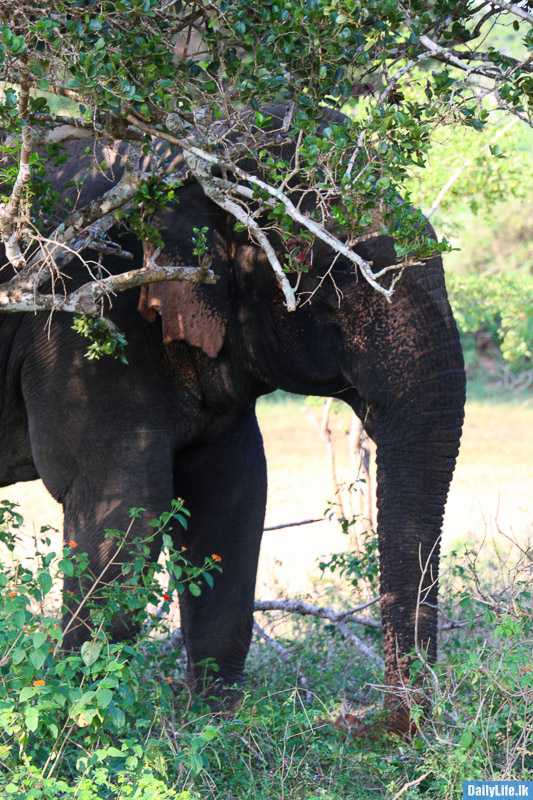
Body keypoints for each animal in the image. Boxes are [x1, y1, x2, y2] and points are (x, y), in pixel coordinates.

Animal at [0, 109, 466, 735]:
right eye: (338, 277)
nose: (372, 722)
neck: (179, 156)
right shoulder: (81, 323)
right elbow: (124, 508)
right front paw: (76, 727)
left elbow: (234, 497)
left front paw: (214, 727)